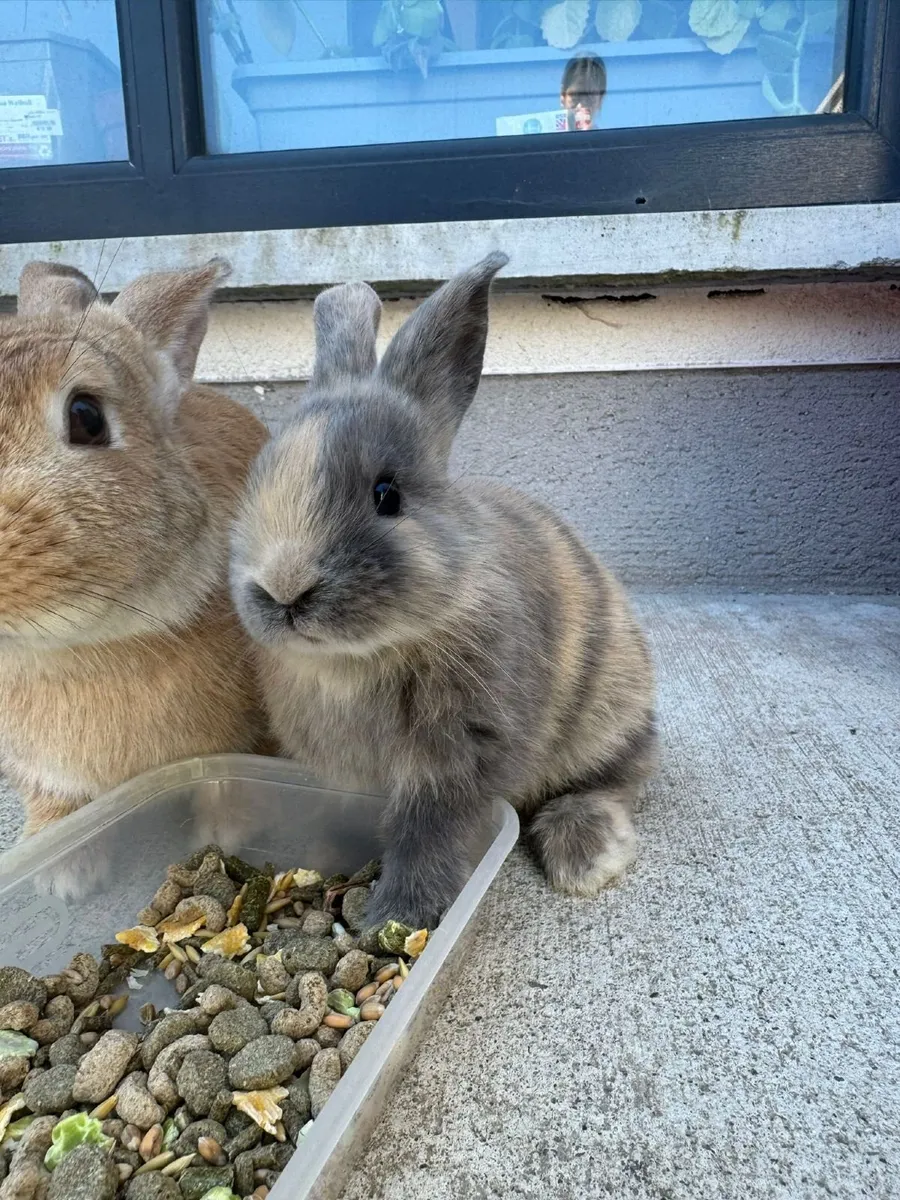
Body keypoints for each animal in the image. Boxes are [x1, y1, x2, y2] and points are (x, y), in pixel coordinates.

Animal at [230, 252, 657, 928]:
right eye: (256, 479)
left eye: (387, 495)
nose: (283, 588)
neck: (358, 658)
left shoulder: (457, 757)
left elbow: (428, 828)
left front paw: (398, 915)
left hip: (606, 717)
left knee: (618, 777)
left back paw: (585, 855)